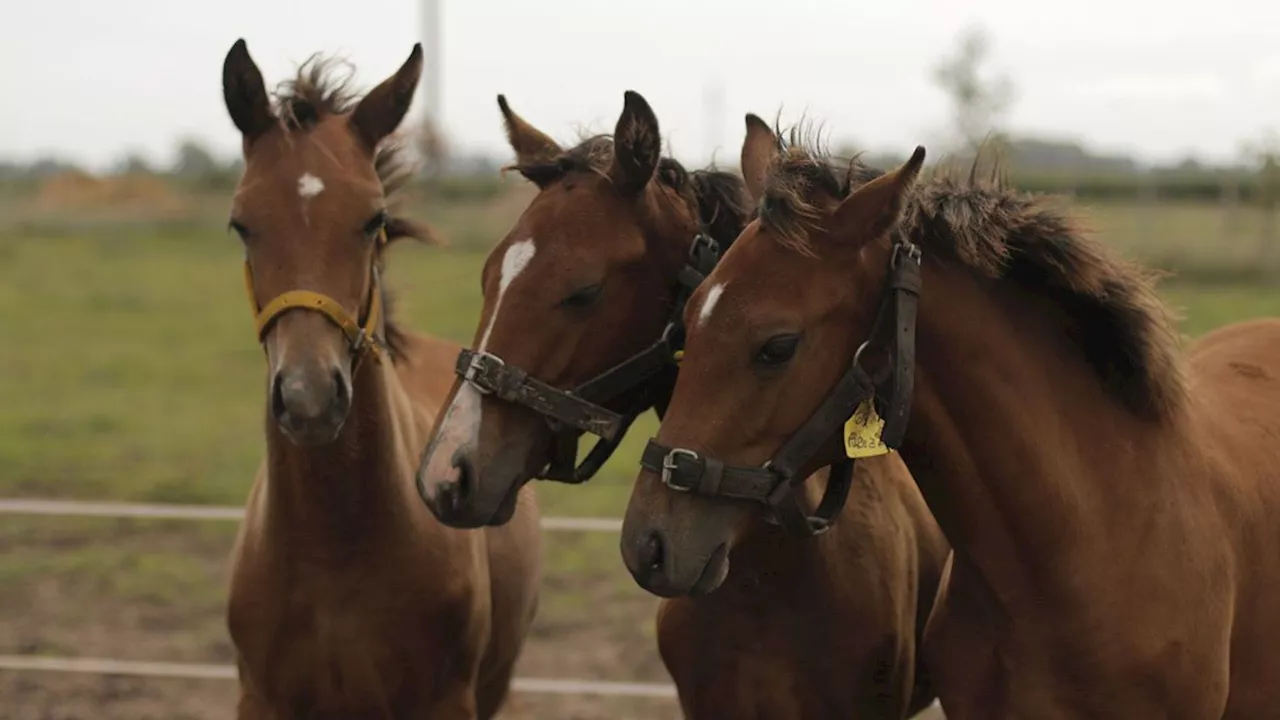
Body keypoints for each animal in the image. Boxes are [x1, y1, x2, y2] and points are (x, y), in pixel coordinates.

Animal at [220, 41, 540, 712]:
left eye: (373, 219)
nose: (310, 399)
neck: (332, 548)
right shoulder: (260, 699)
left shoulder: (448, 701)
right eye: (241, 223)